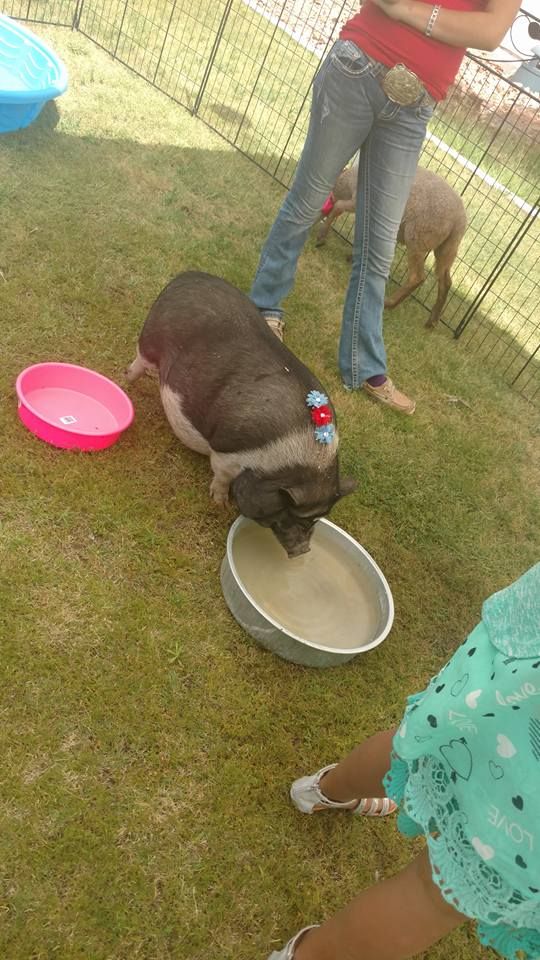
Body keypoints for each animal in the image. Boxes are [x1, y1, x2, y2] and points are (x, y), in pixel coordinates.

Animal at [126, 272, 354, 556]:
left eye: (314, 520)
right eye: (290, 514)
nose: (303, 550)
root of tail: (187, 276)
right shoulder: (227, 450)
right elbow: (222, 475)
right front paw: (220, 503)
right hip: (150, 338)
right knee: (138, 360)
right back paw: (128, 381)